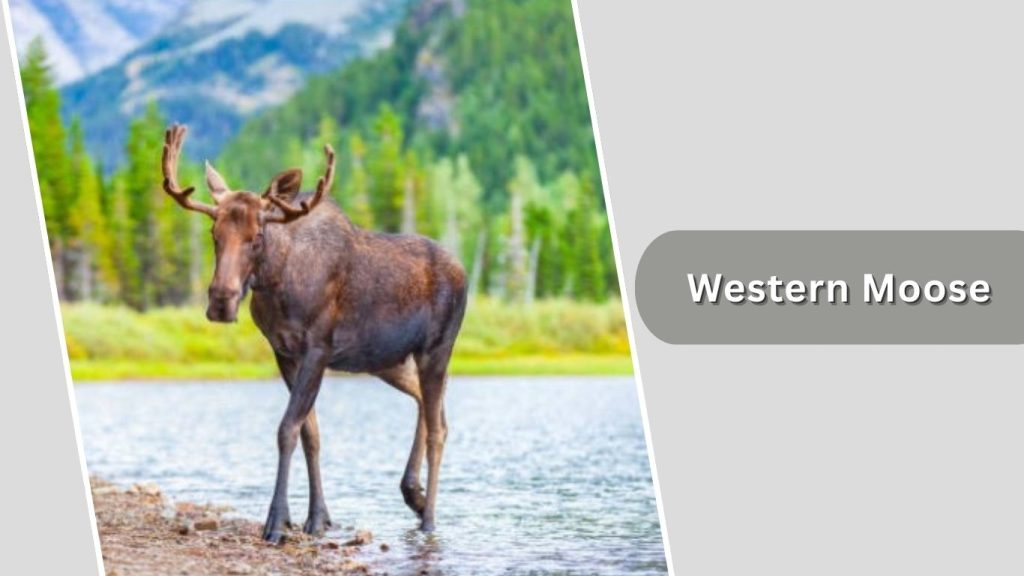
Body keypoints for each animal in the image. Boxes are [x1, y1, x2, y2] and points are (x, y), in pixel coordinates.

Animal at [160, 124, 468, 543]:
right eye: (213, 233)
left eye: (257, 237)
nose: (221, 300)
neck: (276, 284)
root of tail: (464, 272)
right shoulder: (284, 353)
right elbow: (311, 433)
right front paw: (316, 518)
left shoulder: (317, 350)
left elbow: (287, 428)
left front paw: (276, 522)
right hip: (389, 360)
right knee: (431, 406)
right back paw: (414, 495)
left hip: (436, 349)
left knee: (439, 429)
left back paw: (430, 518)